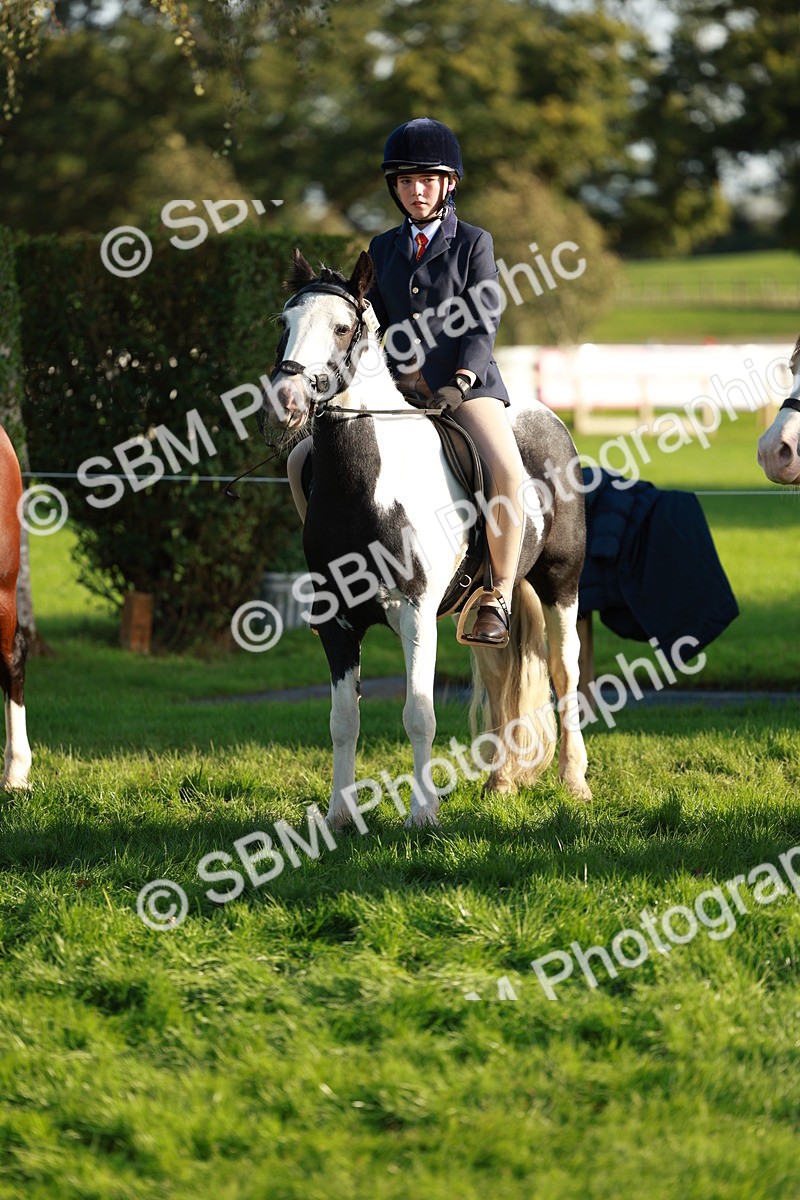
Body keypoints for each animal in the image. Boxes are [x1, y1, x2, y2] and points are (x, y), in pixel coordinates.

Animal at [263, 248, 590, 828]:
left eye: (342, 327)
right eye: (286, 323)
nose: (287, 400)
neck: (367, 485)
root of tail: (548, 418)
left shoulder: (416, 613)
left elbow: (419, 713)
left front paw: (423, 814)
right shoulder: (337, 622)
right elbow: (343, 720)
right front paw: (340, 816)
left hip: (561, 583)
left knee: (564, 673)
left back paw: (575, 784)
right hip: (487, 606)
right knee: (501, 675)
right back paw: (501, 783)